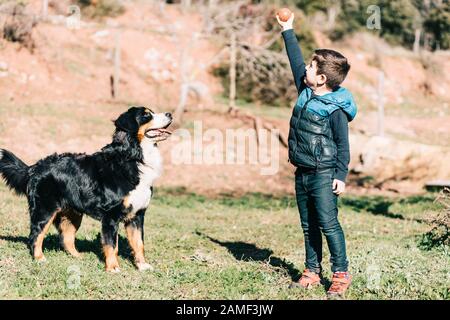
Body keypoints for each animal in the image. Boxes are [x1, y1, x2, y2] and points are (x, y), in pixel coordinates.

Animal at [0, 107, 172, 272]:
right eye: (146, 115)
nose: (170, 114)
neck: (133, 157)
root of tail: (35, 167)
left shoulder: (137, 215)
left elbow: (139, 243)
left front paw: (142, 266)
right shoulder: (110, 216)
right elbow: (112, 245)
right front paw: (113, 267)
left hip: (73, 214)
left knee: (66, 238)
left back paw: (78, 257)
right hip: (45, 210)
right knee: (36, 234)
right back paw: (39, 258)